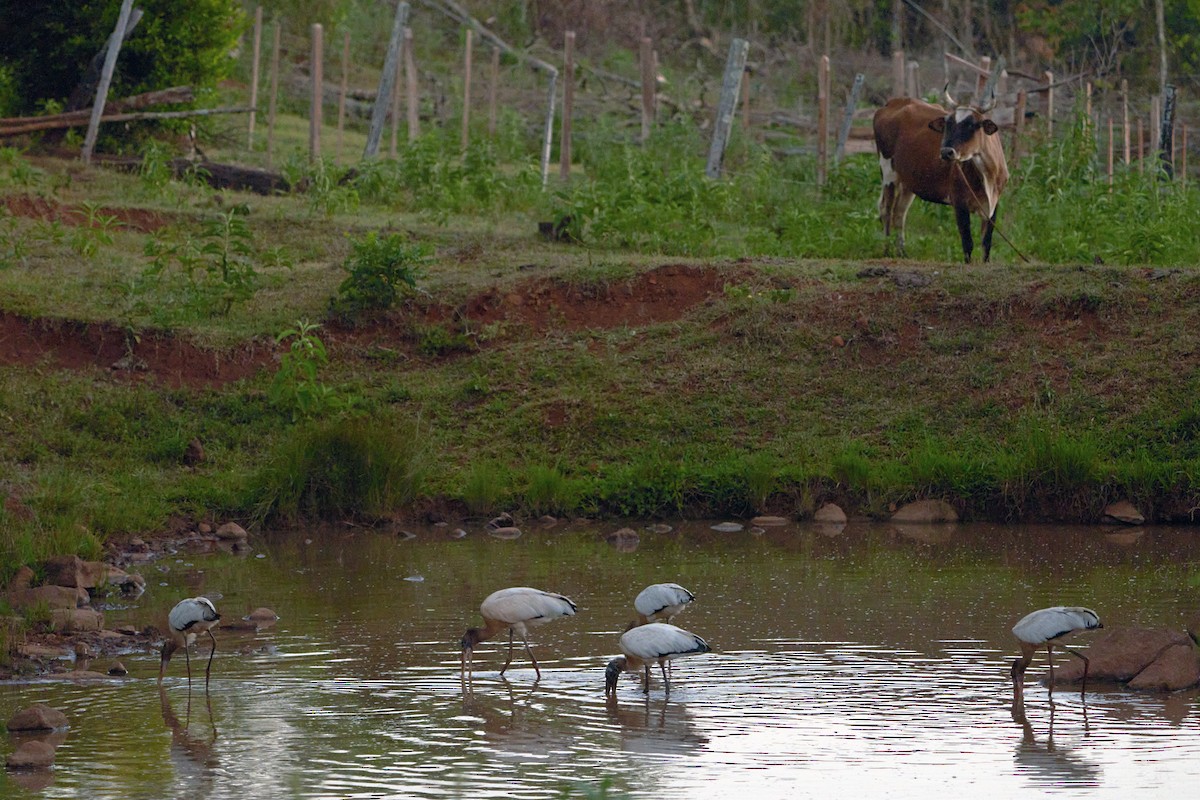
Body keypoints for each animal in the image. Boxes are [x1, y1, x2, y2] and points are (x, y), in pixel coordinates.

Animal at [878, 89, 1008, 262]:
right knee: (886, 210)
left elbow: (986, 243)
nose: (946, 152)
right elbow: (967, 242)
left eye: (972, 125)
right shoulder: (959, 201)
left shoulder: (993, 204)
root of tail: (892, 103)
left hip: (908, 182)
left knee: (899, 213)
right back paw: (886, 251)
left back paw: (902, 252)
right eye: (948, 124)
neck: (988, 176)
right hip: (888, 172)